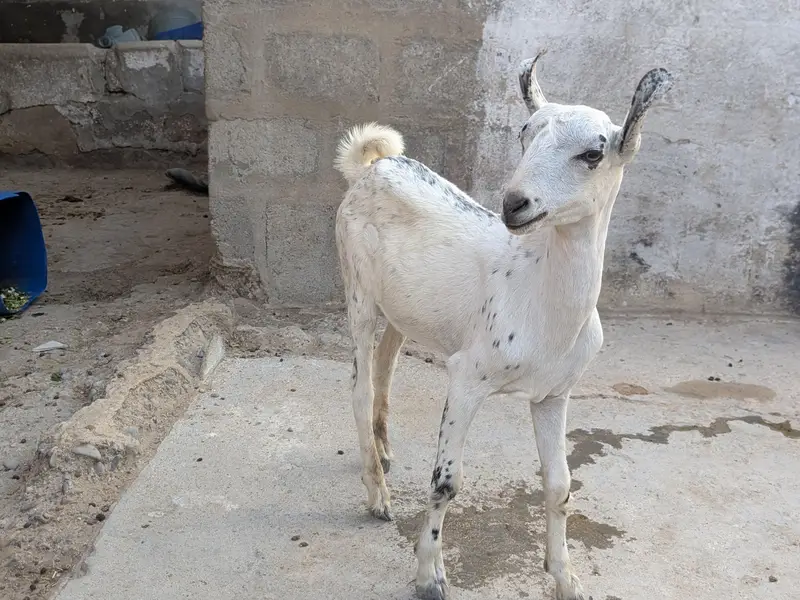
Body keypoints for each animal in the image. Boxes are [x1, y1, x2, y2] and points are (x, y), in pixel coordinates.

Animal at [334, 51, 672, 600]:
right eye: (524, 135)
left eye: (593, 154)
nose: (515, 203)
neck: (539, 298)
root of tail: (373, 165)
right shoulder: (468, 376)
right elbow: (446, 481)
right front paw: (429, 576)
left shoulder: (555, 392)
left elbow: (560, 484)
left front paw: (566, 578)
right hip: (357, 285)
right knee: (360, 383)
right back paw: (376, 494)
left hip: (404, 305)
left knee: (387, 361)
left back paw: (384, 454)